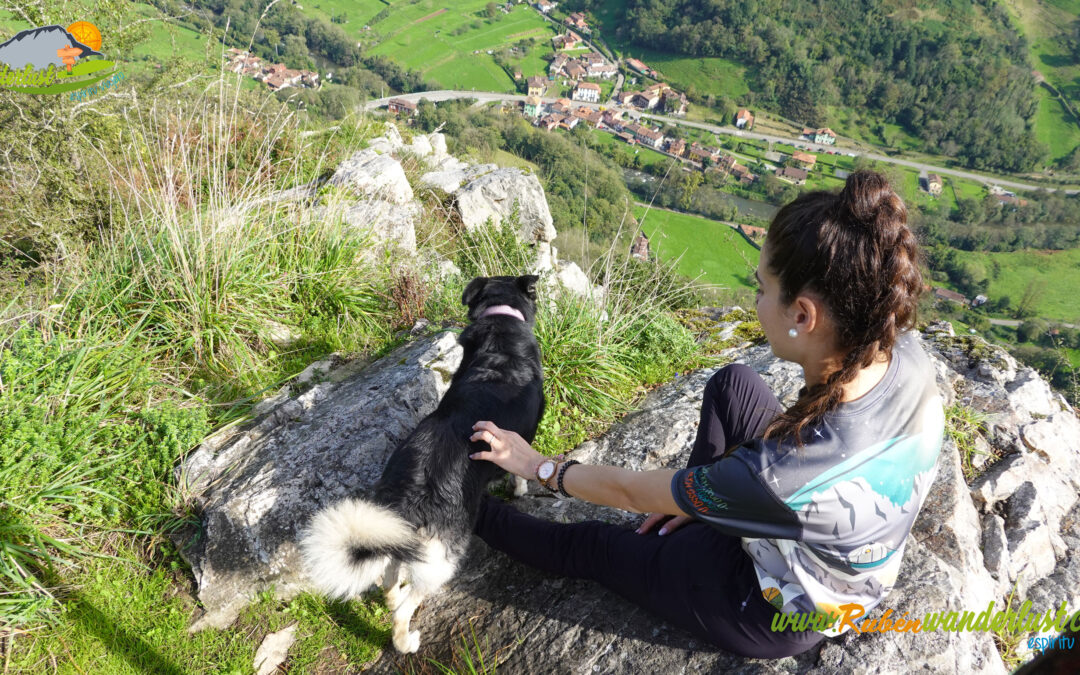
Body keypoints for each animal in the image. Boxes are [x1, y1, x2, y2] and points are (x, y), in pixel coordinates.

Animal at [300, 274, 544, 652]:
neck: (502, 324)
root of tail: (409, 499)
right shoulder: (521, 440)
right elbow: (517, 473)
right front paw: (520, 490)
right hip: (442, 560)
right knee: (404, 608)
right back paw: (406, 642)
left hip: (391, 533)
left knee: (389, 580)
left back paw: (392, 595)